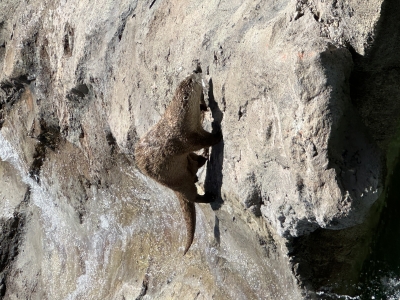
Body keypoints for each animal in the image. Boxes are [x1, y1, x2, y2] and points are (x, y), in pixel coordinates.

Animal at [134, 65, 222, 253]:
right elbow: (201, 141)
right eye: (190, 81)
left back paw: (203, 159)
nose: (196, 71)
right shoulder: (183, 139)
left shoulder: (195, 128)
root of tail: (173, 187)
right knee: (192, 196)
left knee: (194, 164)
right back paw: (209, 196)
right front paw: (216, 135)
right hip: (180, 181)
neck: (177, 123)